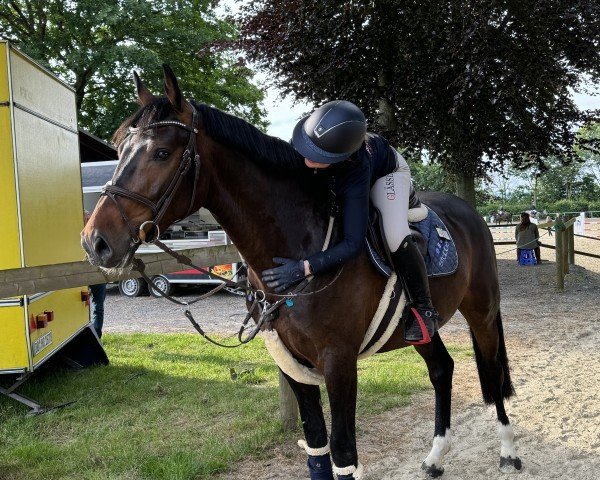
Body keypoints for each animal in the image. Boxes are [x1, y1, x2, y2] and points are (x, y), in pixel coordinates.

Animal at [82, 67, 524, 480]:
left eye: (161, 153)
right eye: (120, 147)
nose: (94, 241)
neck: (297, 241)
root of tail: (469, 213)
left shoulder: (339, 362)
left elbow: (343, 452)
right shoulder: (292, 362)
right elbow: (316, 446)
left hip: (482, 313)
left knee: (491, 371)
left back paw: (508, 450)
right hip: (420, 331)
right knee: (442, 369)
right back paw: (435, 458)